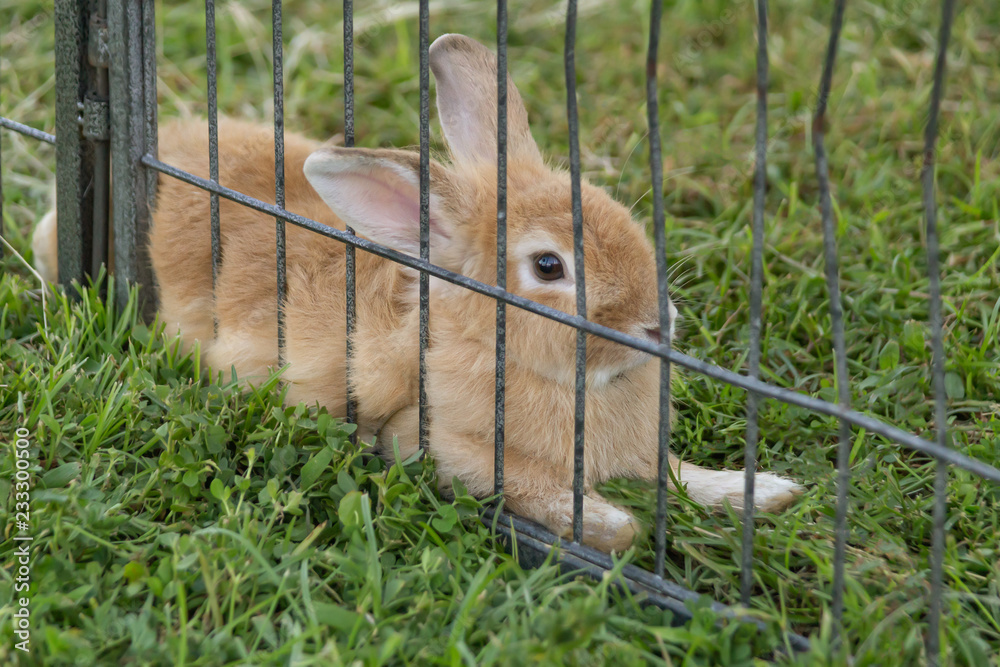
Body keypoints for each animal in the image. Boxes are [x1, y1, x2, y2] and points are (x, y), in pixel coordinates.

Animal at [32, 33, 803, 552]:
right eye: (548, 267)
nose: (656, 326)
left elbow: (677, 474)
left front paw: (765, 491)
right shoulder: (431, 442)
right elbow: (562, 500)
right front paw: (615, 521)